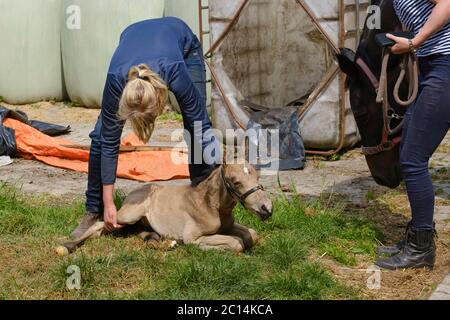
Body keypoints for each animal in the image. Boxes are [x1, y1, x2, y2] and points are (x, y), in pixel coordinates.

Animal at [57, 162, 272, 255]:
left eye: (258, 177)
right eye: (236, 182)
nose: (267, 209)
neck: (210, 205)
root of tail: (135, 191)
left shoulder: (230, 226)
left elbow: (252, 235)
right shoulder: (192, 236)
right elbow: (236, 243)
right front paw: (204, 248)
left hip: (138, 222)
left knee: (139, 231)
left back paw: (161, 241)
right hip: (128, 215)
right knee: (101, 224)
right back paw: (68, 245)